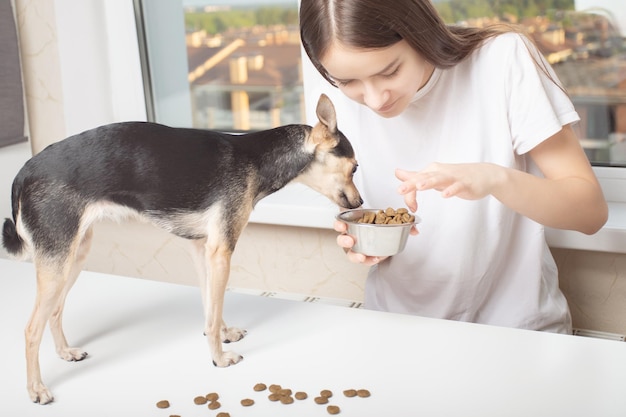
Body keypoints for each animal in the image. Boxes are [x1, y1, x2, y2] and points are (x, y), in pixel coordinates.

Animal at [1, 93, 360, 404]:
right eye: (355, 167)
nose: (360, 202)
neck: (256, 159)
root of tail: (24, 172)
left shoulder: (202, 250)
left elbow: (210, 306)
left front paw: (223, 334)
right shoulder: (221, 250)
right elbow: (213, 311)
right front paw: (218, 358)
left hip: (73, 254)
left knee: (55, 311)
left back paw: (66, 353)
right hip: (58, 260)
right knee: (31, 329)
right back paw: (36, 389)